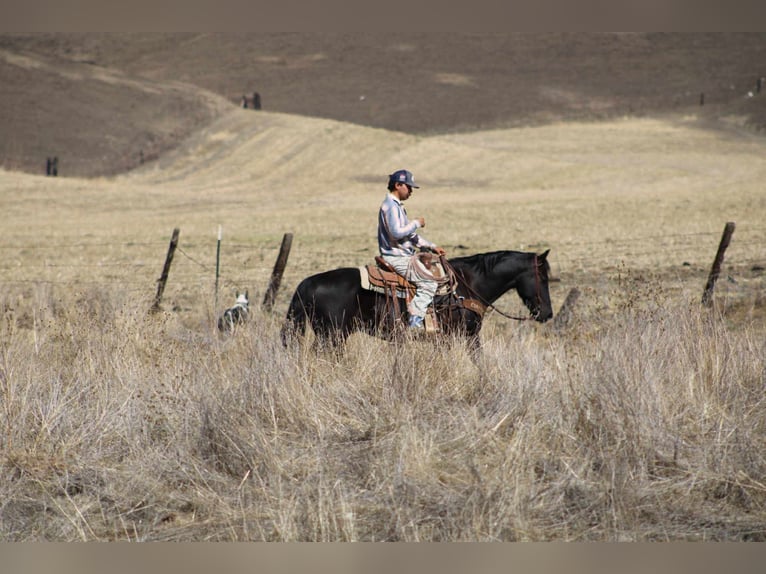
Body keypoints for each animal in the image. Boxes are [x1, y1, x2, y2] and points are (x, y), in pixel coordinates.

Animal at [280, 249, 553, 352]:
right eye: (544, 277)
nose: (547, 314)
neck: (469, 284)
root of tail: (307, 283)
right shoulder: (467, 336)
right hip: (333, 336)